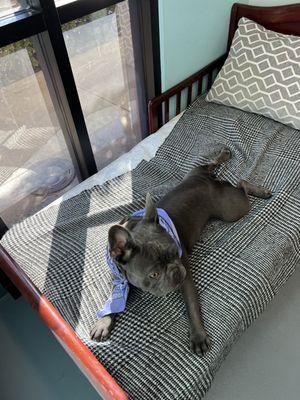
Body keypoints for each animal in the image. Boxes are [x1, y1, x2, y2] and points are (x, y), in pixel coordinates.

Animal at [90, 148, 270, 354]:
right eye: (154, 274)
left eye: (177, 253)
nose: (176, 270)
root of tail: (206, 180)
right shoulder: (119, 278)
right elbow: (113, 299)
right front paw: (103, 322)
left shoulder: (186, 281)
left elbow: (192, 307)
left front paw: (198, 336)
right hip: (195, 173)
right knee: (212, 166)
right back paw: (224, 155)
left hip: (231, 210)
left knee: (241, 184)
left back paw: (259, 190)